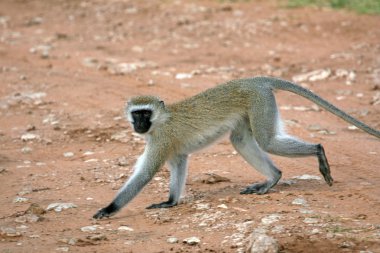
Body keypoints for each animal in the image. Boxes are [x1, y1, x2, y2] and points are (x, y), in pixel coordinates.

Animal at [93, 75, 380, 219]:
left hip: (260, 101)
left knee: (267, 141)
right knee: (241, 141)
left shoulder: (161, 139)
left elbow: (144, 175)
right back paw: (273, 178)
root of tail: (254, 80)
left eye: (145, 114)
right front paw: (170, 202)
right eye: (136, 114)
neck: (161, 120)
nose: (139, 125)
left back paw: (318, 151)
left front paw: (109, 209)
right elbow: (179, 164)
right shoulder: (173, 149)